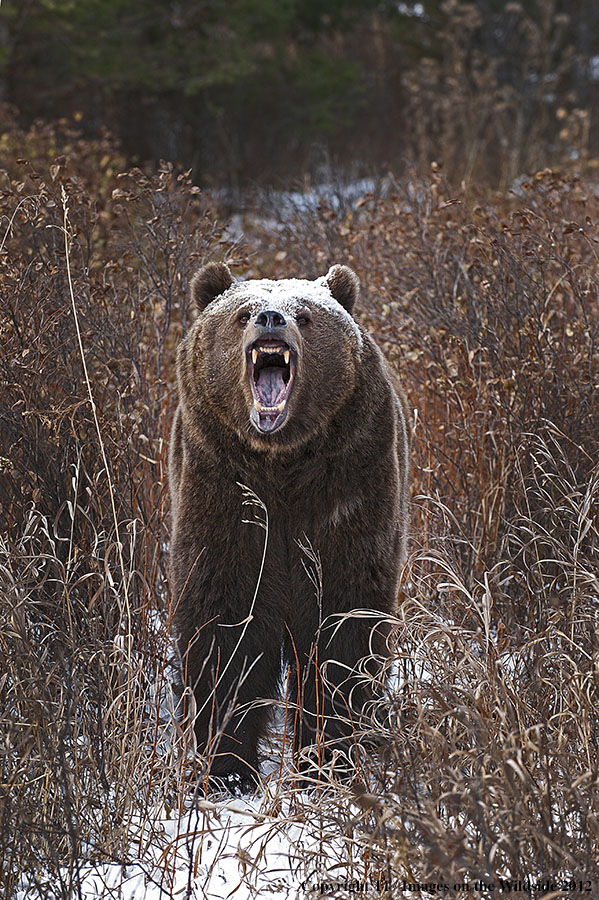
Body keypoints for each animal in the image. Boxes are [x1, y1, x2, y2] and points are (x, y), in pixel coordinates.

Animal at [169, 261, 410, 789]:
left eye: (305, 314)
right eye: (242, 313)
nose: (271, 318)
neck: (281, 463)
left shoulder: (346, 490)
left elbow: (342, 624)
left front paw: (326, 758)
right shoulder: (224, 491)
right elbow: (227, 624)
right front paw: (227, 769)